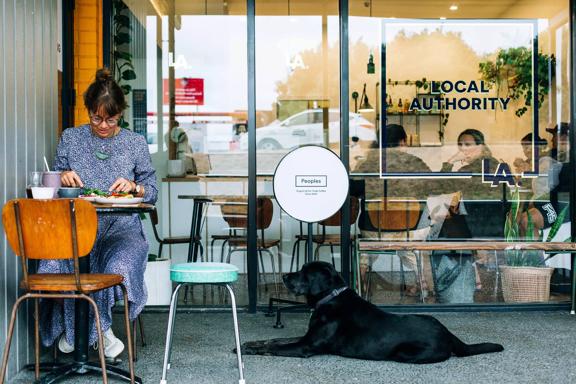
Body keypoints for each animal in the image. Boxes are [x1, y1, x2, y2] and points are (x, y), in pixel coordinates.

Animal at [241, 260, 502, 364]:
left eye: (305, 272)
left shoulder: (306, 346)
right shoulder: (306, 337)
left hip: (405, 353)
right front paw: (248, 344)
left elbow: (276, 348)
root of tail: (447, 333)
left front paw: (247, 352)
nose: (284, 276)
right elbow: (274, 340)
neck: (330, 298)